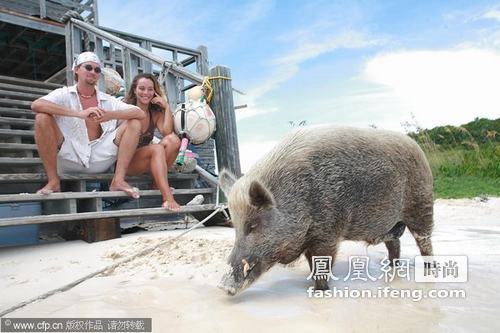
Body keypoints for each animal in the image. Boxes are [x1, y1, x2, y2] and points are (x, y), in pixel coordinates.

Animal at [219, 126, 434, 294]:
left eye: (253, 226)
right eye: (234, 227)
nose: (223, 287)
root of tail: (416, 147)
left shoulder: (328, 230)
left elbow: (323, 260)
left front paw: (319, 291)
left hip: (421, 203)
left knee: (424, 241)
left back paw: (430, 269)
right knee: (394, 242)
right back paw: (392, 266)